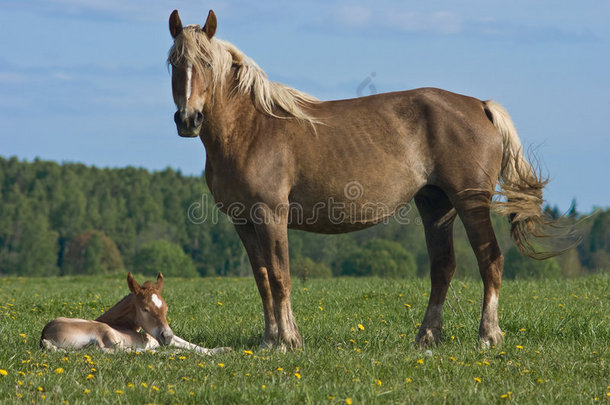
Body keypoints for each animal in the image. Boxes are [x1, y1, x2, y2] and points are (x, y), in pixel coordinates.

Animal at [40, 272, 229, 354]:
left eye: (166, 308)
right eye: (145, 309)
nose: (166, 336)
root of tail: (44, 337)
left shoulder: (157, 337)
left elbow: (187, 342)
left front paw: (221, 350)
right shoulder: (151, 337)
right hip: (106, 334)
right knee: (117, 351)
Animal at [165, 11, 560, 348]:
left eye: (206, 63)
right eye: (174, 63)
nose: (188, 119)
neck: (251, 128)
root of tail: (480, 105)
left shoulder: (271, 214)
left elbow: (279, 276)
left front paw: (289, 341)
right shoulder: (243, 221)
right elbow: (263, 279)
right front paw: (269, 341)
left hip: (470, 202)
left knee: (490, 260)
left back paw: (487, 336)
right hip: (436, 205)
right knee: (443, 267)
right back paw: (426, 338)